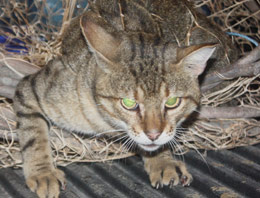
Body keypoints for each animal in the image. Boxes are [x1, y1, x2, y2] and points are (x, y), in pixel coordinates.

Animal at [13, 0, 238, 198]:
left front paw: (162, 161)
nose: (153, 134)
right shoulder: (32, 88)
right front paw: (43, 173)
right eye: (129, 103)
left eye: (172, 102)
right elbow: (33, 134)